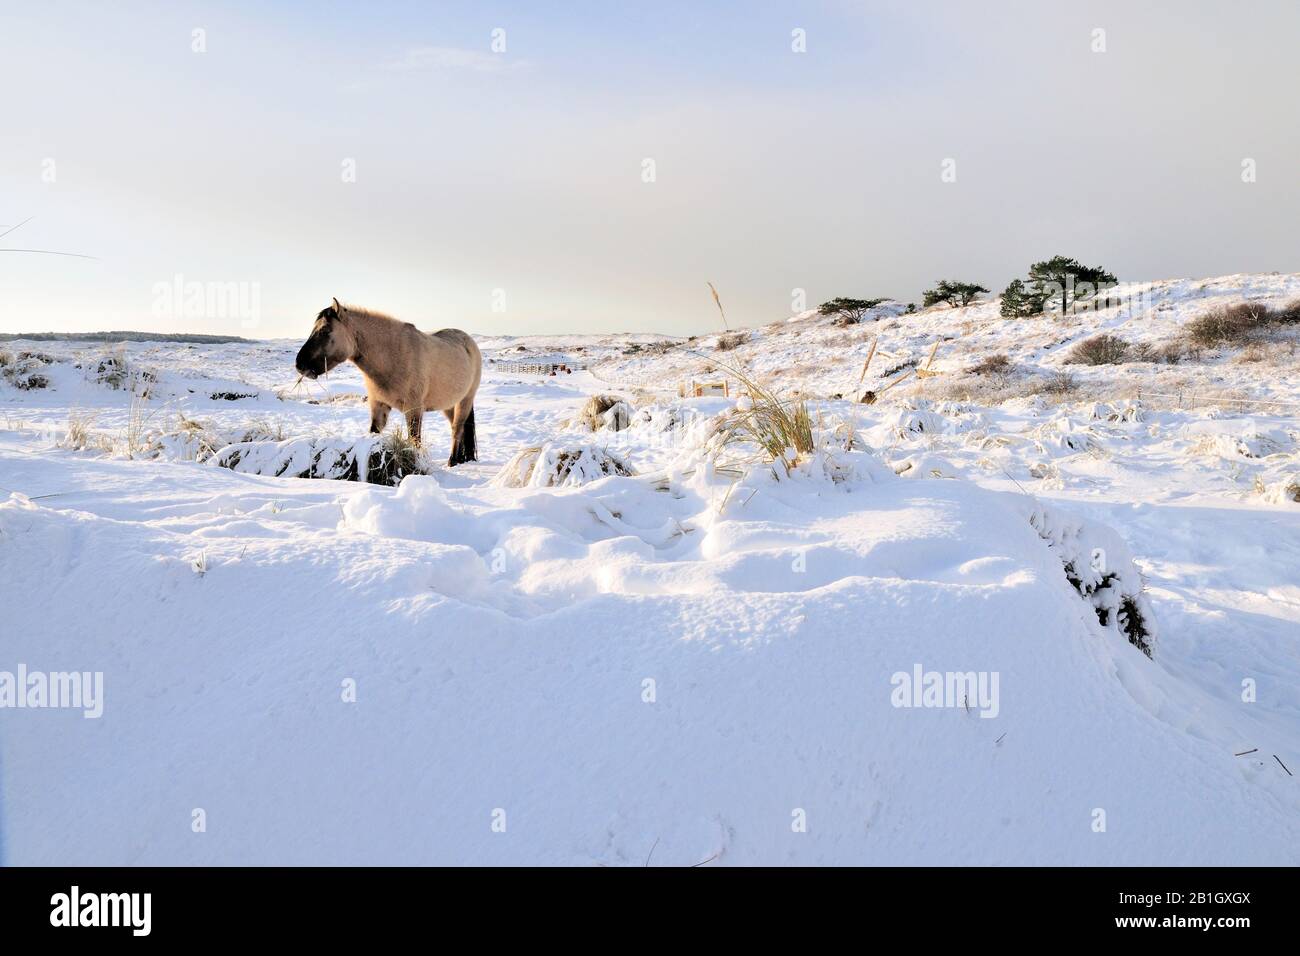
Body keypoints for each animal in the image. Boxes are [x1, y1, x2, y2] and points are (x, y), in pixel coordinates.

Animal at [296, 295, 483, 468]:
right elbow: (374, 433)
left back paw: (452, 461)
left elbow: (414, 440)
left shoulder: (414, 410)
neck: (392, 357)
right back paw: (459, 459)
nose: (300, 364)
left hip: (465, 401)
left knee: (457, 429)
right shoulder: (378, 405)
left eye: (325, 331)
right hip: (449, 404)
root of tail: (468, 342)